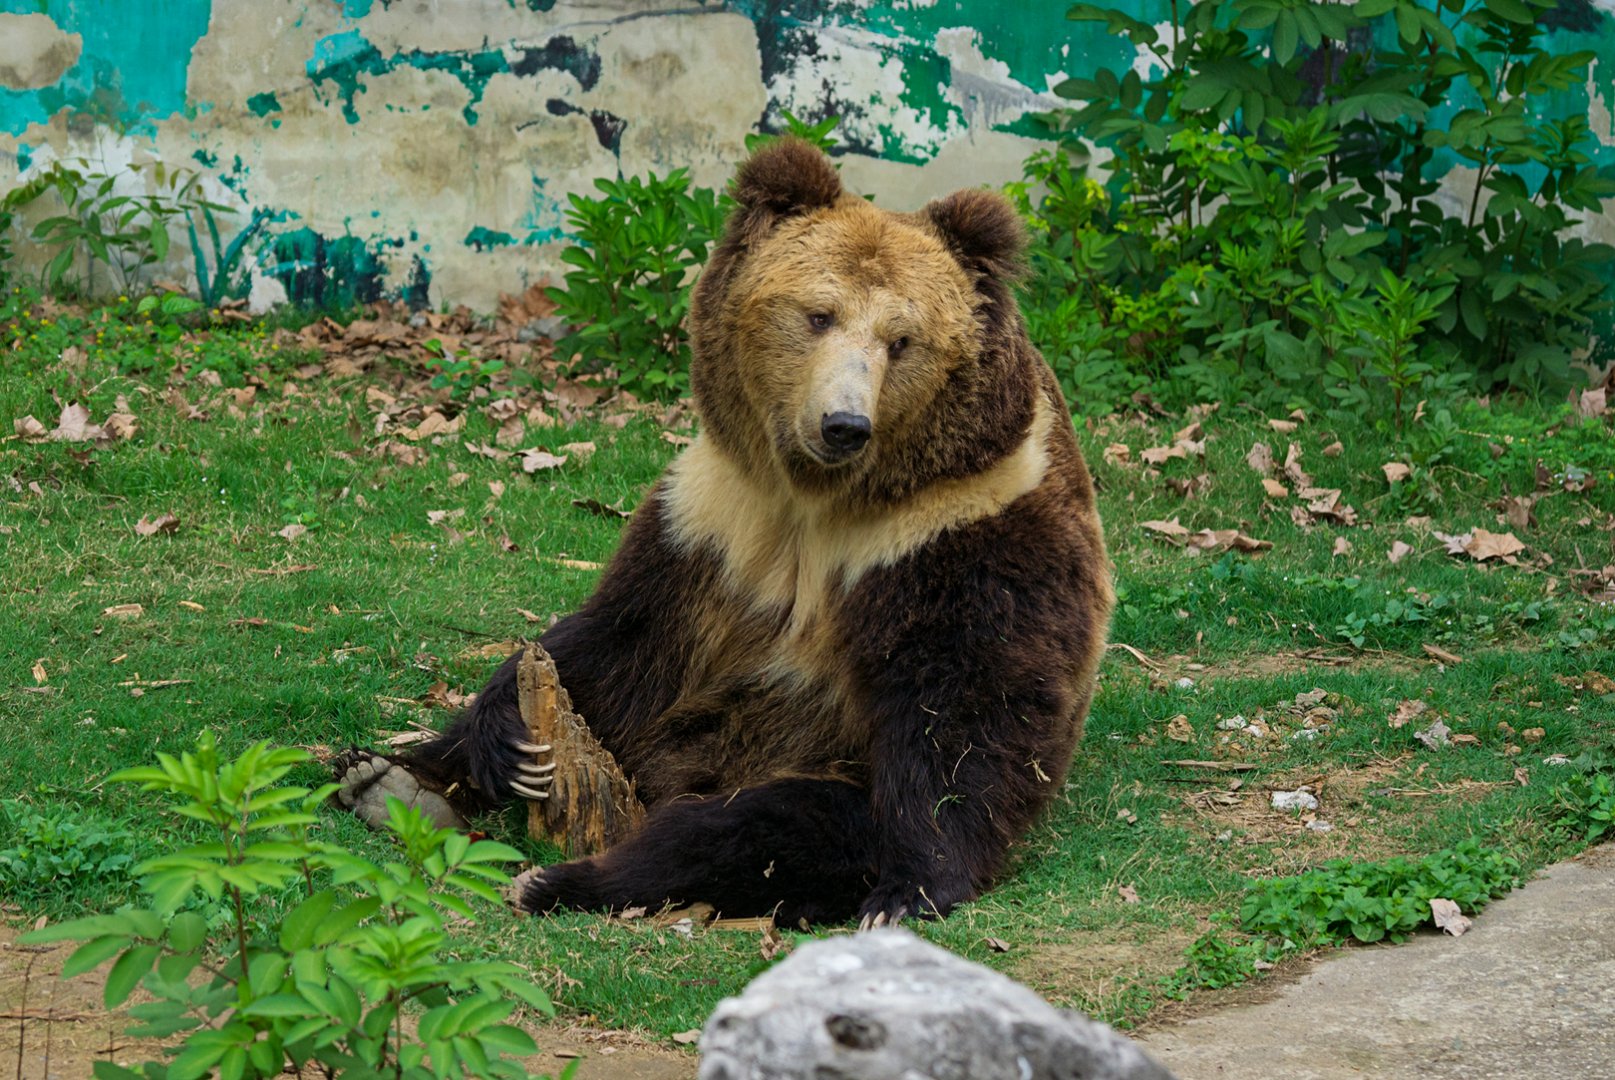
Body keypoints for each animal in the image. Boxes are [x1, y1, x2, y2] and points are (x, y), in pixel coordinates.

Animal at [338, 138, 1113, 928]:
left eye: (903, 340)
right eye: (817, 315)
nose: (843, 423)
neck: (819, 496)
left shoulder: (958, 523)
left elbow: (967, 706)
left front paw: (909, 887)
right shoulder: (717, 515)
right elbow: (618, 639)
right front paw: (514, 742)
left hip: (806, 765)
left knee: (750, 832)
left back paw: (562, 878)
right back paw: (388, 780)